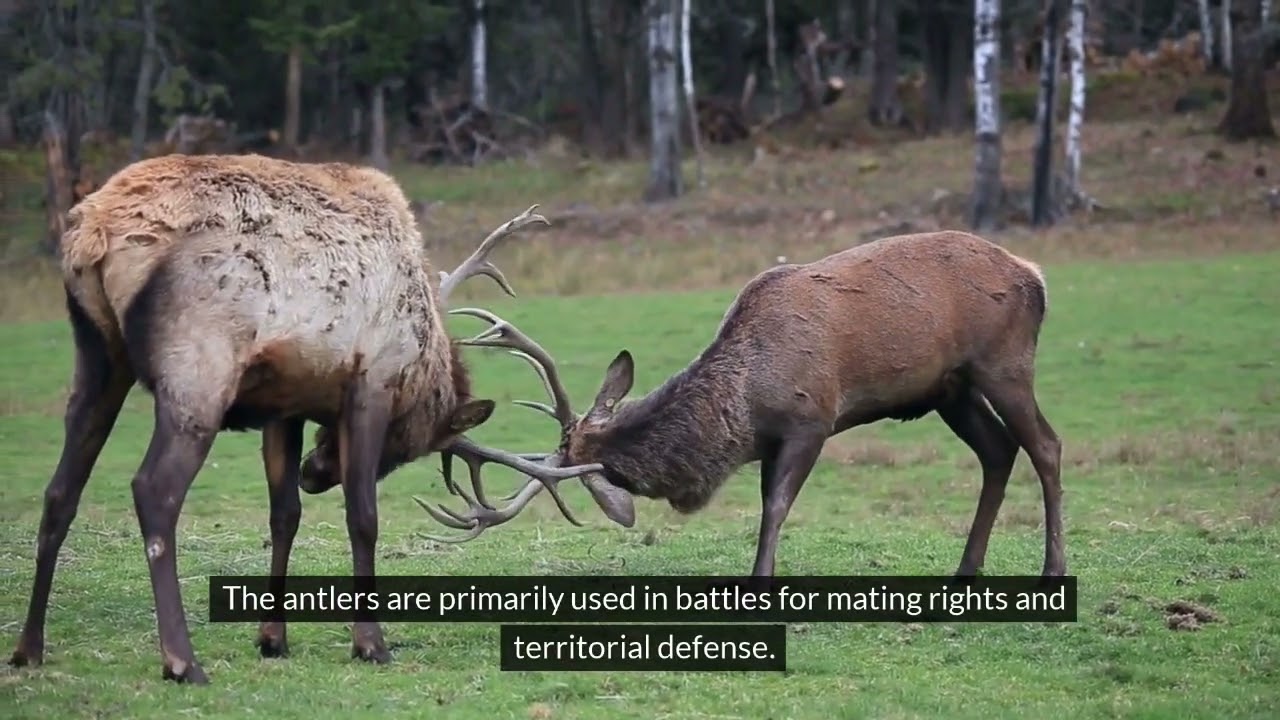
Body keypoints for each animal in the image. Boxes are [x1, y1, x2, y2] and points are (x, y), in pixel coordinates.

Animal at [7, 153, 632, 685]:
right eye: (404, 447)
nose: (314, 470)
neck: (424, 356)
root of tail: (91, 233)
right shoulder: (371, 382)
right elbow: (364, 517)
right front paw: (370, 642)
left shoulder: (283, 406)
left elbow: (284, 514)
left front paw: (272, 637)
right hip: (198, 368)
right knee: (152, 490)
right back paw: (182, 660)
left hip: (97, 358)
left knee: (60, 491)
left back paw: (28, 648)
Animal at [415, 230, 1066, 581]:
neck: (743, 404)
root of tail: (1035, 275)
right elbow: (766, 504)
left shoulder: (811, 419)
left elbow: (775, 507)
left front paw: (762, 580)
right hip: (950, 390)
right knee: (998, 451)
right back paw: (966, 569)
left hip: (1003, 363)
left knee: (1045, 445)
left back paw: (1052, 568)